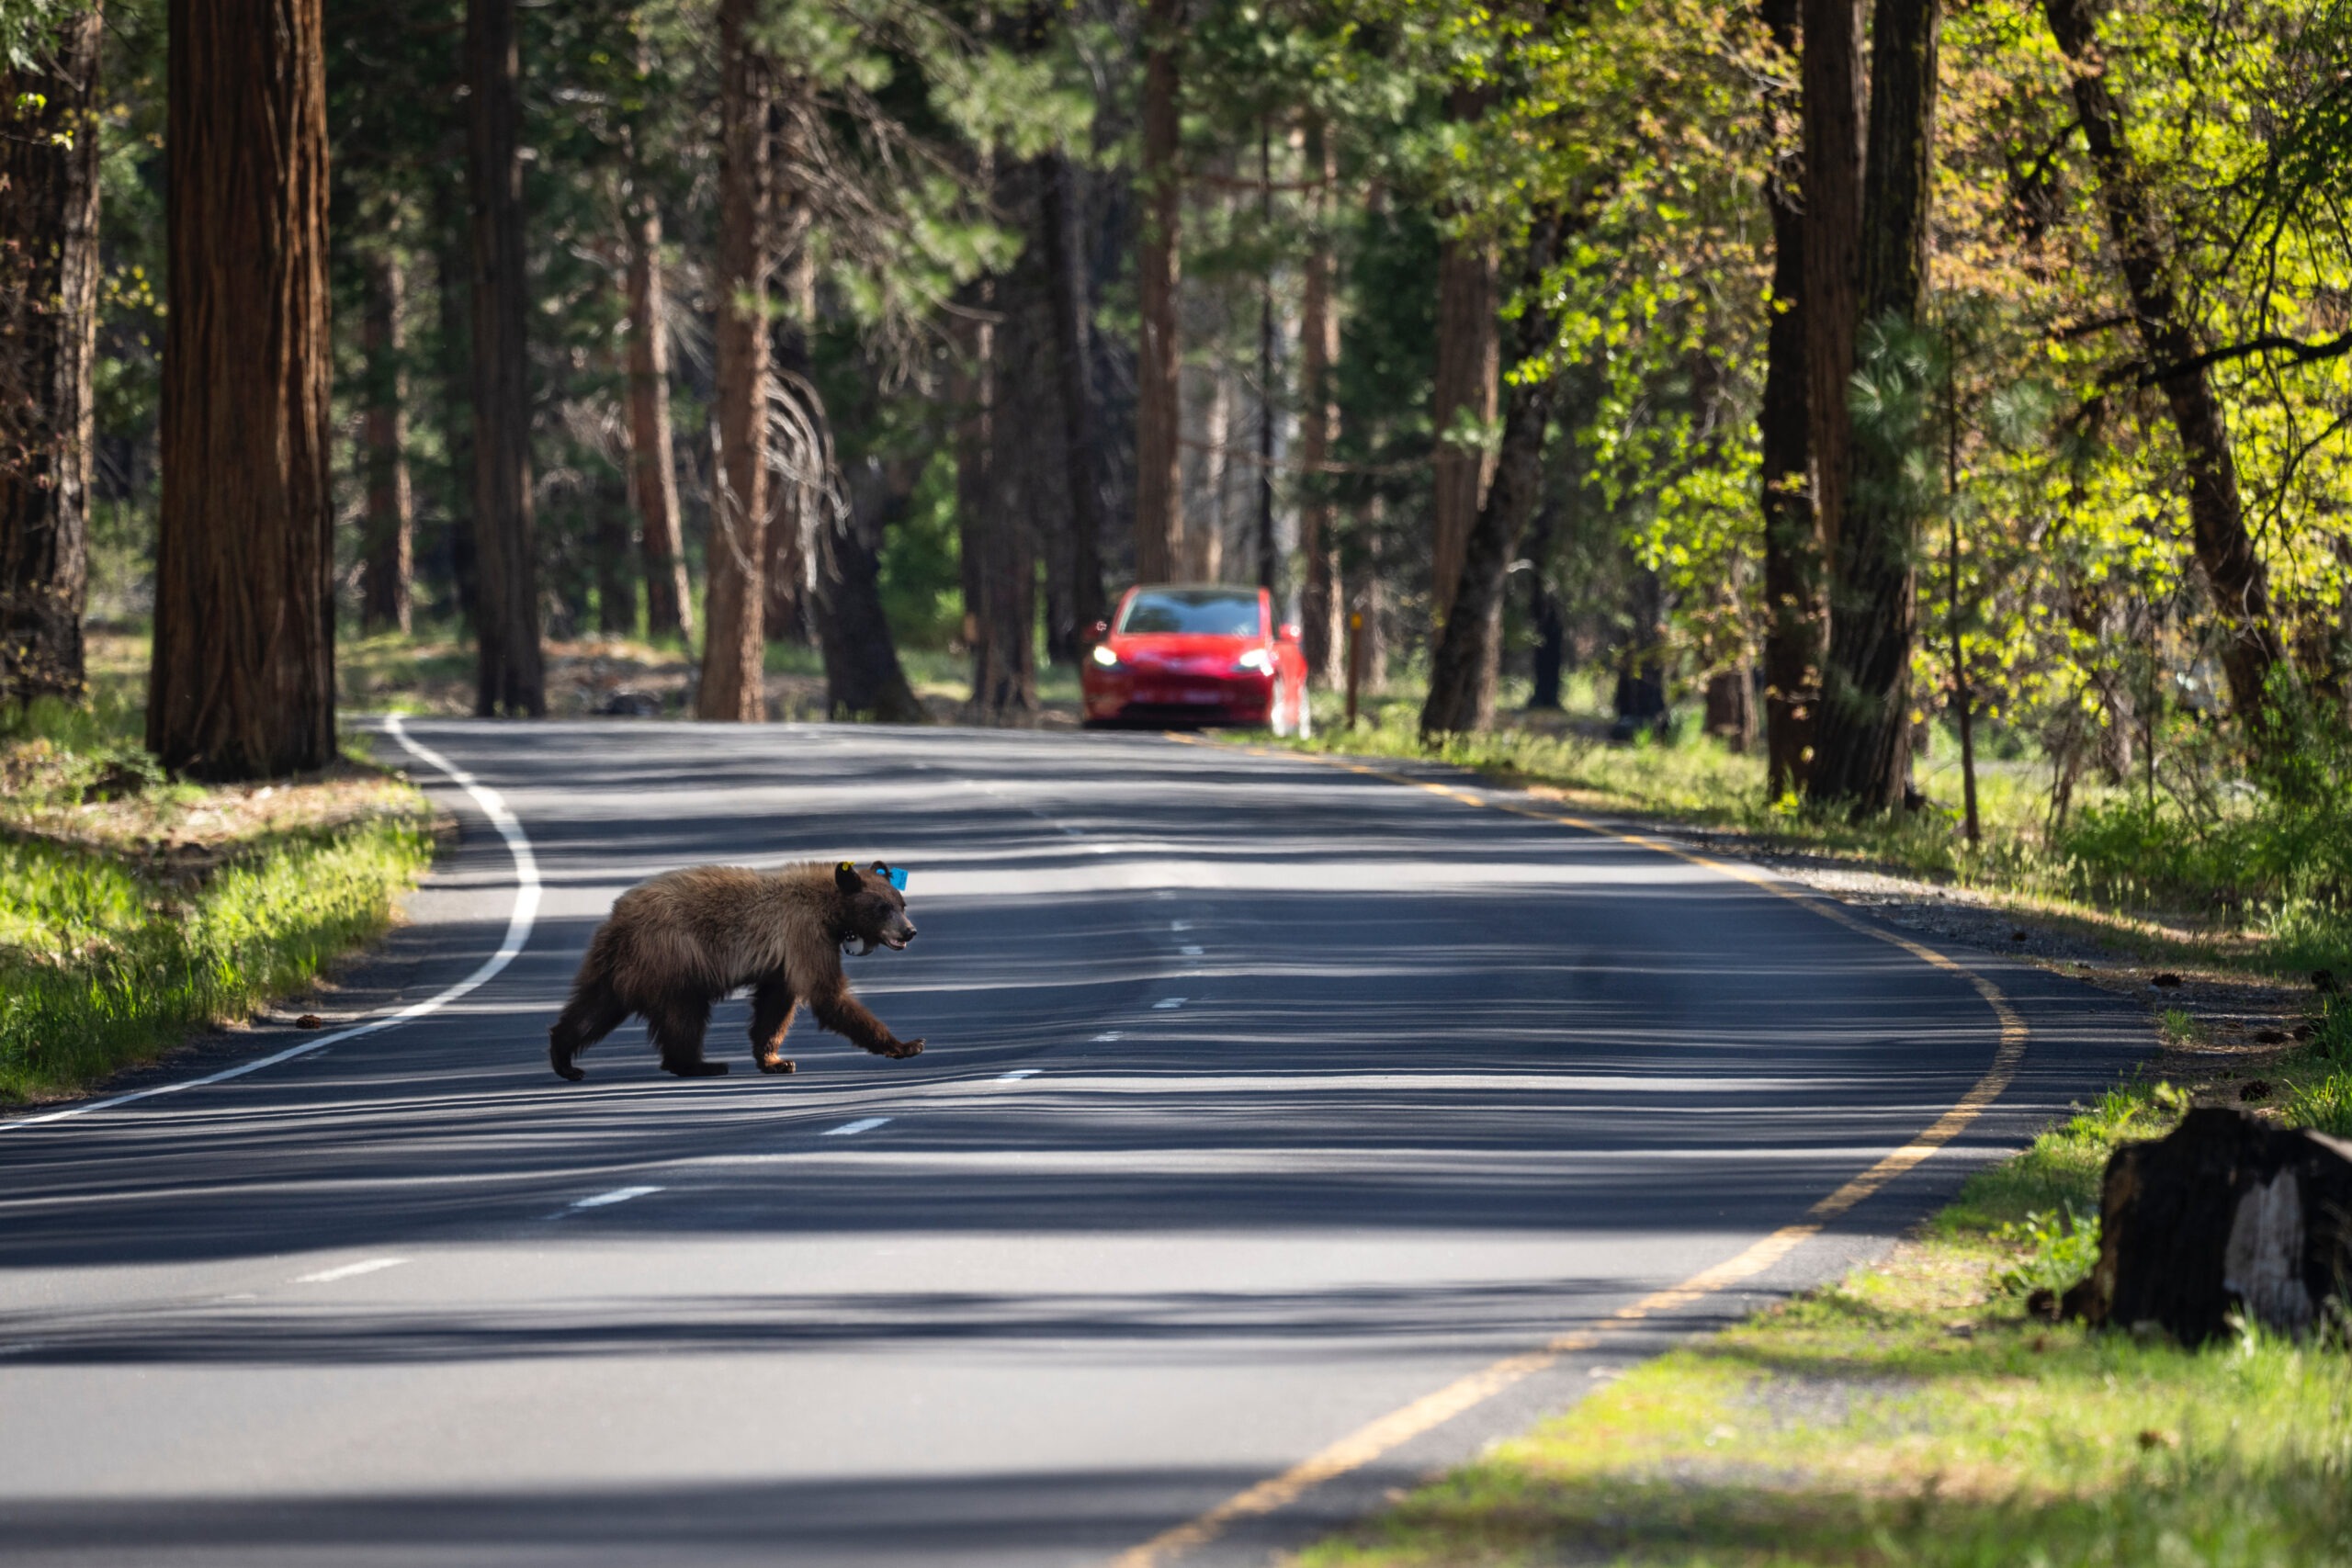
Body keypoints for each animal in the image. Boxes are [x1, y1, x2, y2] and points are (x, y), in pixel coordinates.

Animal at [547, 859, 924, 1081]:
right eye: (883, 907)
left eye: (902, 903)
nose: (909, 931)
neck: (830, 910)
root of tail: (618, 919)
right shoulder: (803, 932)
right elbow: (826, 993)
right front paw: (907, 1044)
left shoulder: (782, 959)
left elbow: (776, 1005)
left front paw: (775, 1059)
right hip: (674, 957)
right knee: (685, 1013)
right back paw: (698, 1065)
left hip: (615, 966)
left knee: (594, 1008)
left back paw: (564, 1059)